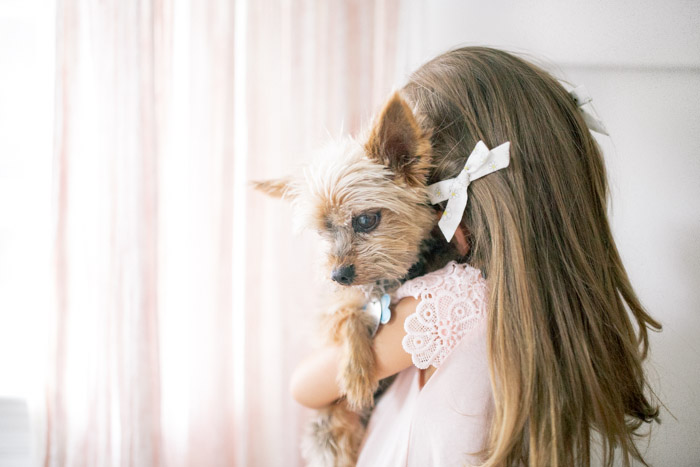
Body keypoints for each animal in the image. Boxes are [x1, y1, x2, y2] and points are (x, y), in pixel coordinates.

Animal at [254, 93, 462, 466]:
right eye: (322, 231)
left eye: (366, 220)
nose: (338, 275)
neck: (387, 282)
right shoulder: (329, 316)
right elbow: (349, 316)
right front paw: (358, 372)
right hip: (332, 427)